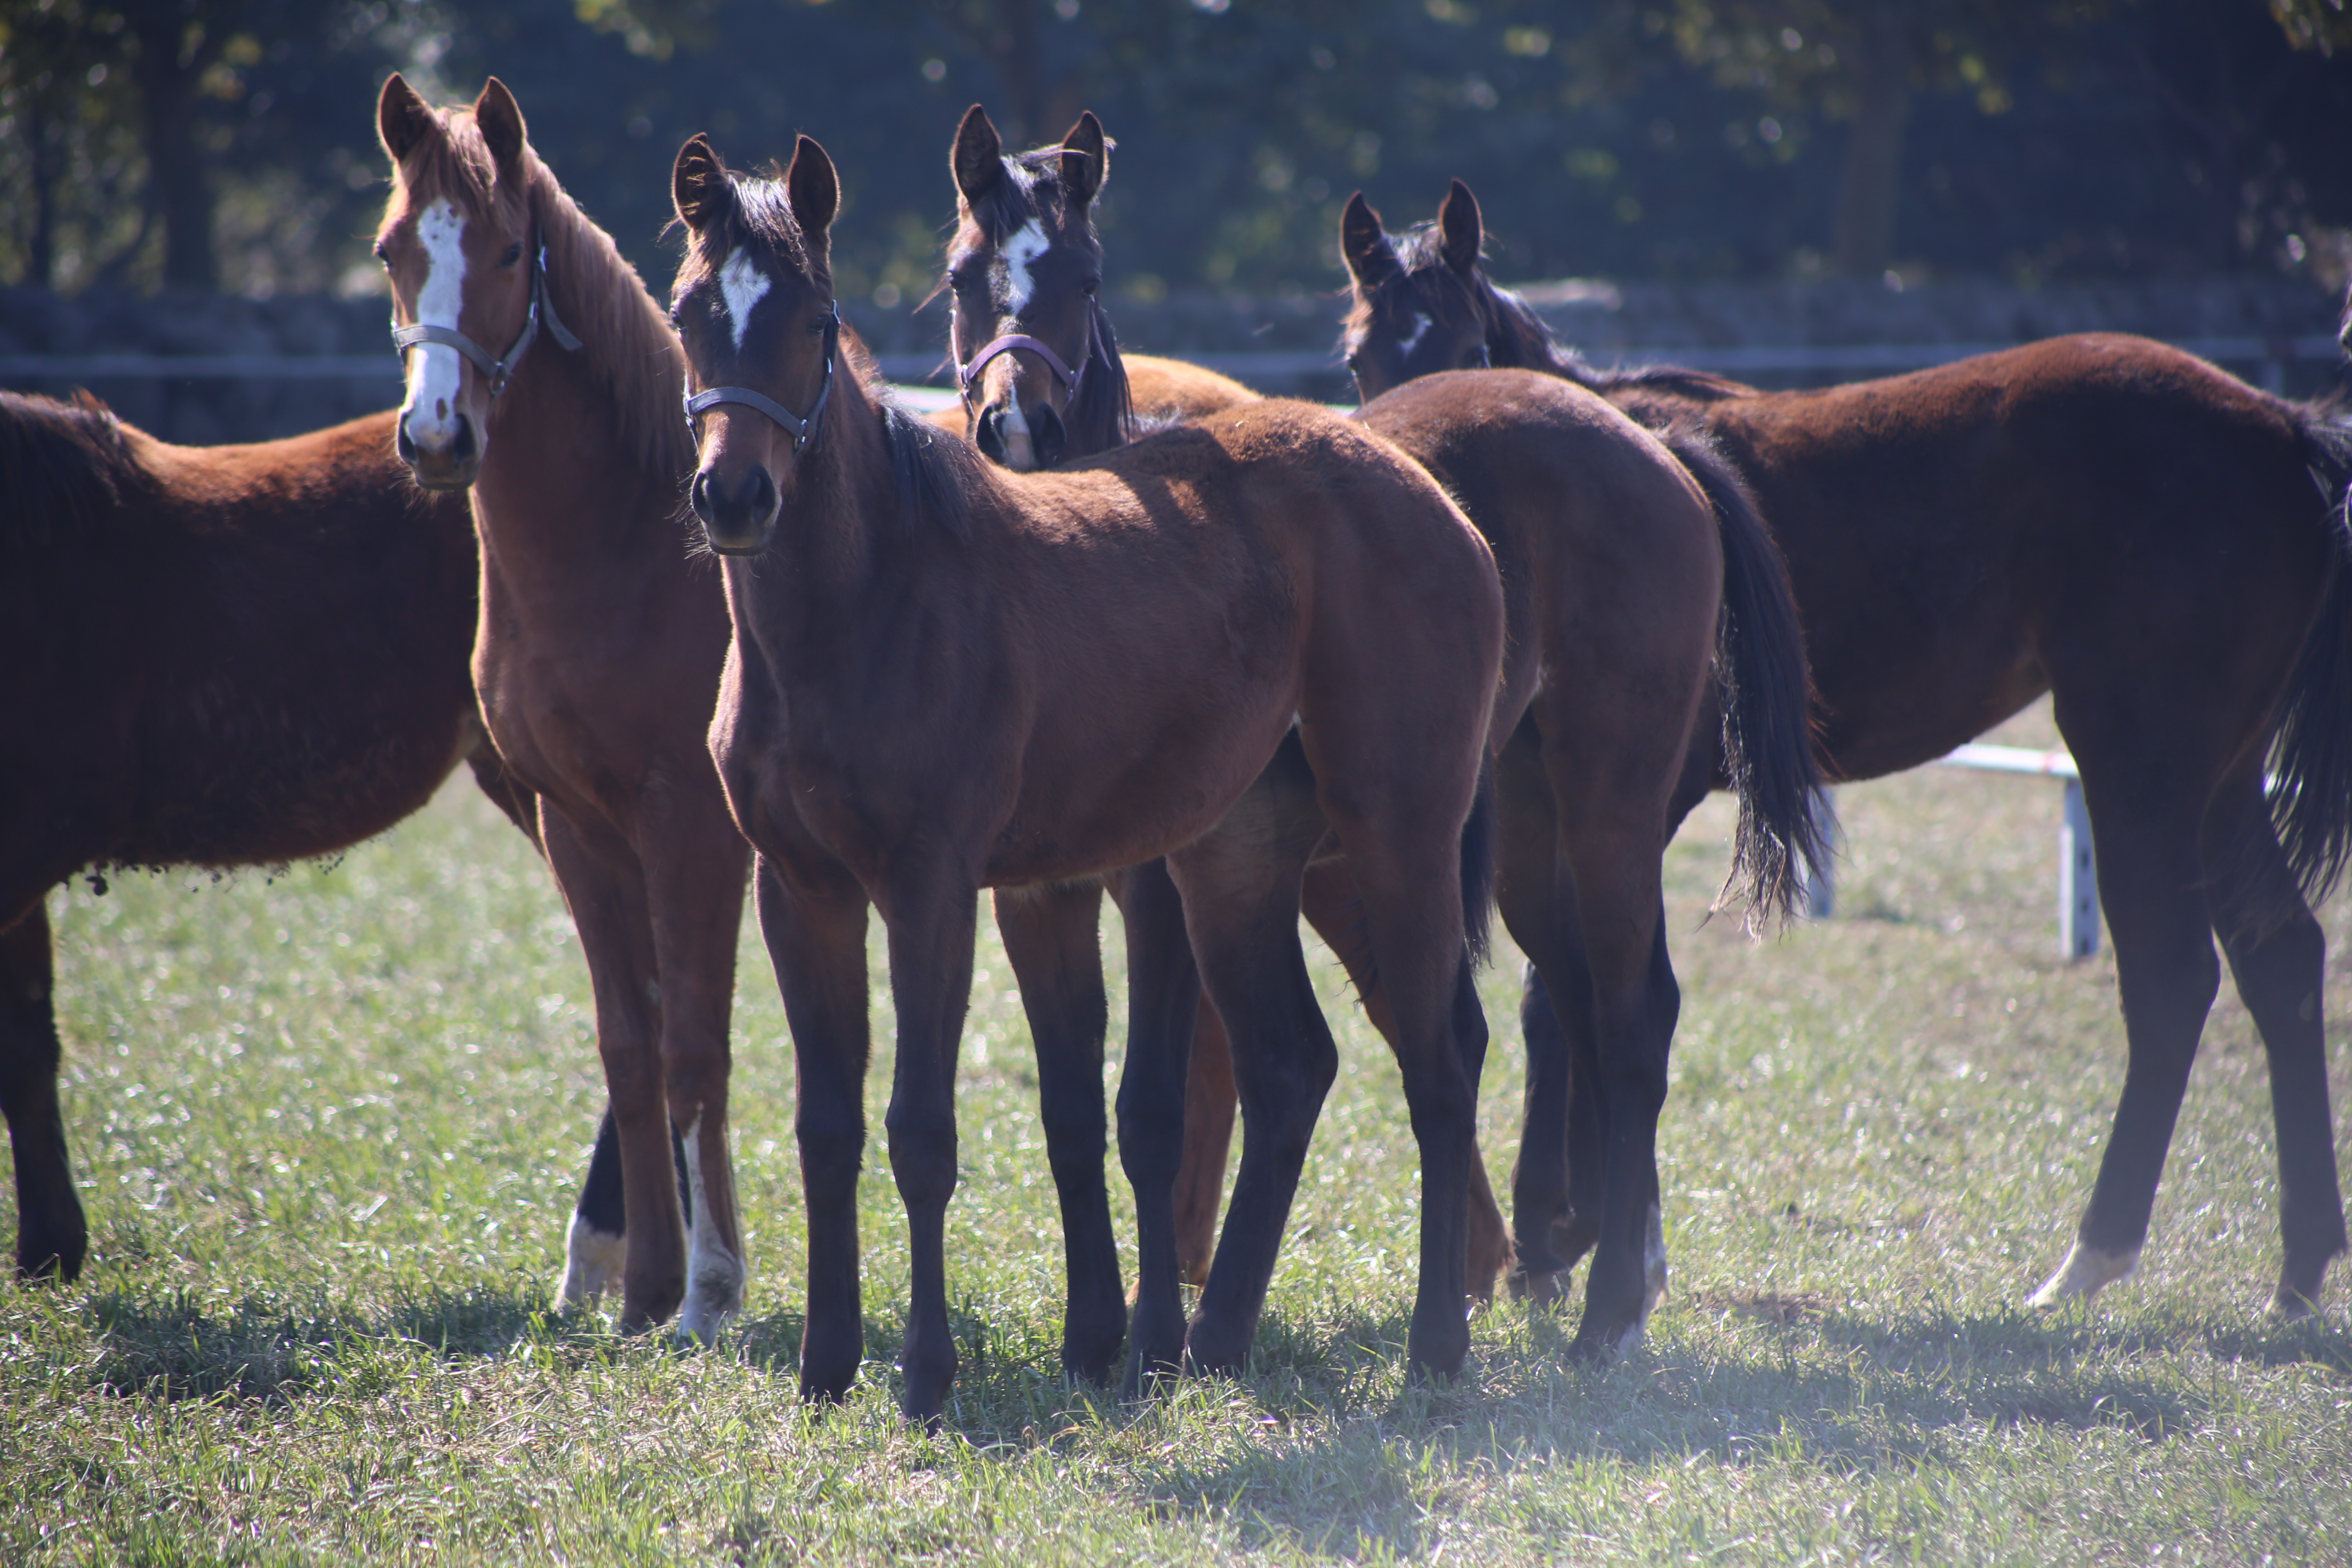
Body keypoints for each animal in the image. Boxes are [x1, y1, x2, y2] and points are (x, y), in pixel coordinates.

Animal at [673, 129, 1496, 1420]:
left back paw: (1432, 1347)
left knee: (1440, 1057)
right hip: (1235, 865)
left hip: (1398, 835)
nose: (736, 496)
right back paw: (1213, 1340)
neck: (869, 603)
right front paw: (826, 1365)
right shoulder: (802, 890)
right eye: (689, 314)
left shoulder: (932, 887)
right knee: (1289, 1061)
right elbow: (828, 1127)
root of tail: (1432, 498)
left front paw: (925, 1374)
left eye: (816, 319)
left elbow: (922, 1129)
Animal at [931, 110, 1815, 1363]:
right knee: (1575, 999)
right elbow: (1069, 1105)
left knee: (1632, 1013)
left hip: (1606, 803)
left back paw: (1601, 1309)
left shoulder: (1162, 887)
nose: (1017, 422)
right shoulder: (1039, 893)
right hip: (1522, 835)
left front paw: (1149, 1334)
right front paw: (1099, 1333)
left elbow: (1150, 1104)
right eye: (967, 277)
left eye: (1084, 278)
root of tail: (1653, 447)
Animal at [1345, 177, 2352, 1316]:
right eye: (1359, 359)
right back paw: (2297, 1266)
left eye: (1471, 350)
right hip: (2220, 777)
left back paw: (2087, 1260)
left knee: (2173, 978)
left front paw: (1581, 1238)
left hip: (2141, 763)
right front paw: (1584, 1236)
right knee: (2279, 957)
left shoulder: (1637, 797)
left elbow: (1568, 998)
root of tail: (2281, 427)